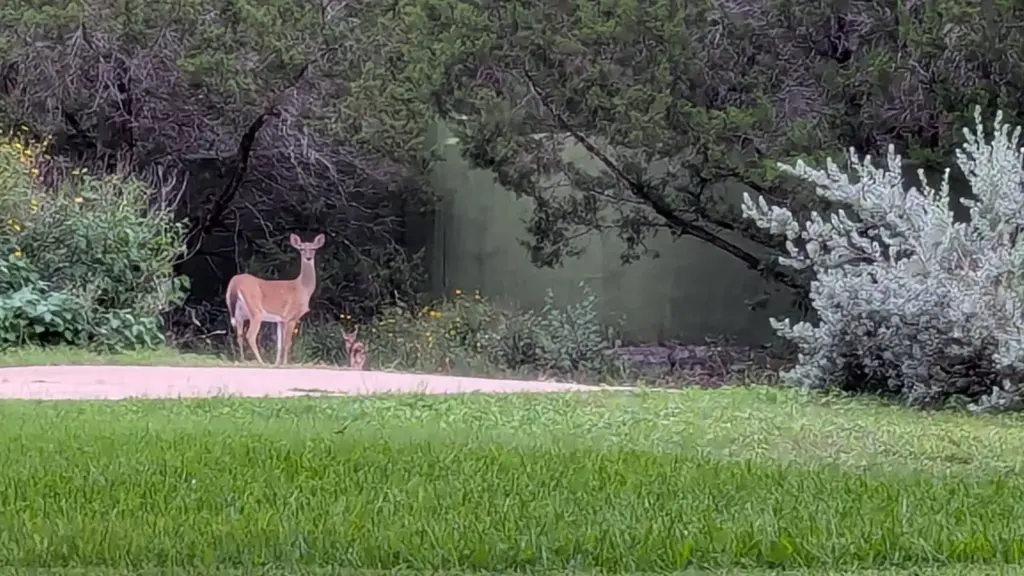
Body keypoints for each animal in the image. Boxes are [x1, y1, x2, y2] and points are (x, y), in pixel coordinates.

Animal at [225, 233, 325, 366]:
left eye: (313, 249)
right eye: (301, 249)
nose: (308, 258)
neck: (302, 288)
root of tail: (234, 284)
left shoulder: (280, 320)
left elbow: (279, 344)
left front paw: (277, 363)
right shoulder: (291, 317)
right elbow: (287, 343)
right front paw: (285, 364)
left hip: (239, 314)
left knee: (239, 335)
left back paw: (242, 360)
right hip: (256, 311)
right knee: (250, 335)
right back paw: (261, 362)